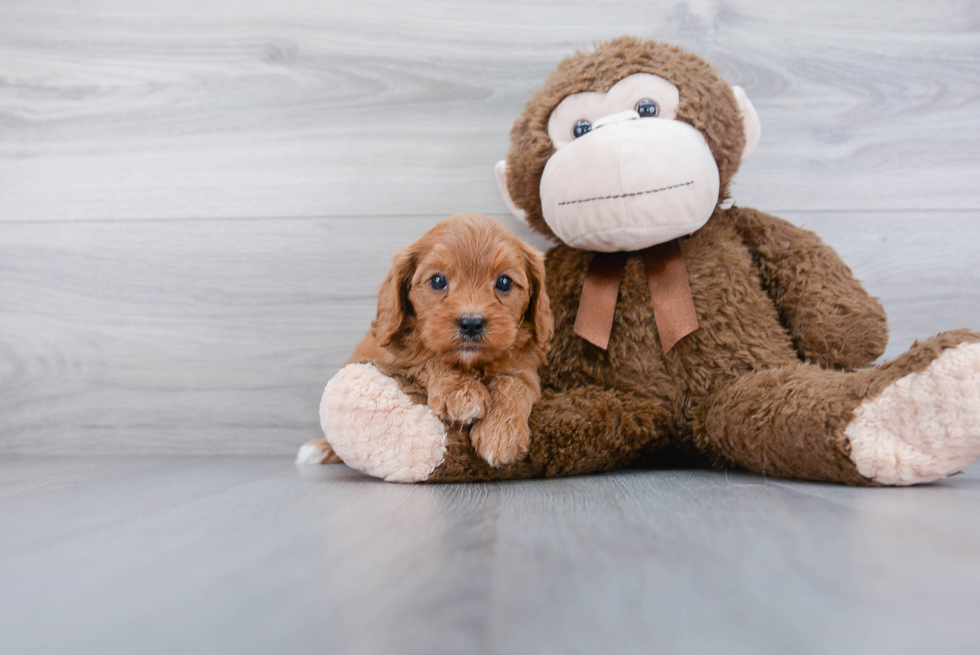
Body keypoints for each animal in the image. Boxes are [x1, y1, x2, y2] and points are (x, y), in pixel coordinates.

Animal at [300, 214, 552, 466]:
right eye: (438, 281)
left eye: (504, 283)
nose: (471, 323)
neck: (471, 364)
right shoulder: (400, 359)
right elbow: (428, 358)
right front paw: (460, 392)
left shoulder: (525, 368)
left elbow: (513, 383)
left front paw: (502, 433)